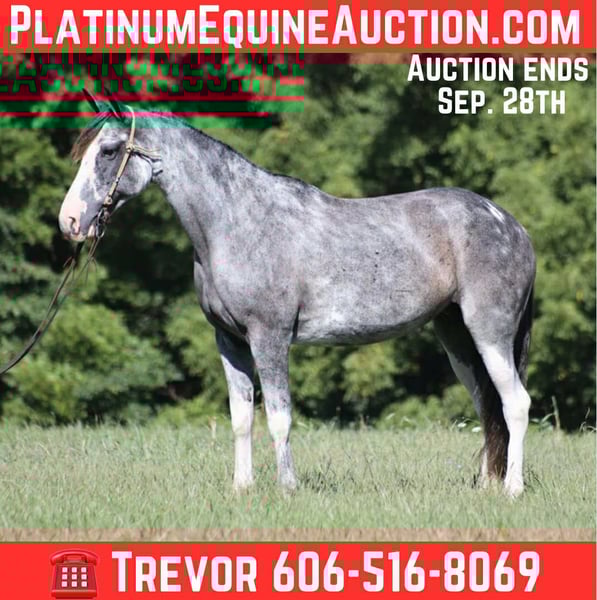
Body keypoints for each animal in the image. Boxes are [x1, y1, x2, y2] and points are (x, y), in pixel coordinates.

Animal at [58, 94, 536, 498]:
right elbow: (241, 418)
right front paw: (243, 488)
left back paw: (511, 490)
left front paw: (287, 487)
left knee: (515, 404)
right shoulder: (229, 340)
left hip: (489, 334)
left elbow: (279, 417)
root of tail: (513, 226)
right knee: (487, 407)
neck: (237, 221)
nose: (70, 222)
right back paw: (487, 486)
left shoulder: (268, 337)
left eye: (108, 151)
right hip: (457, 339)